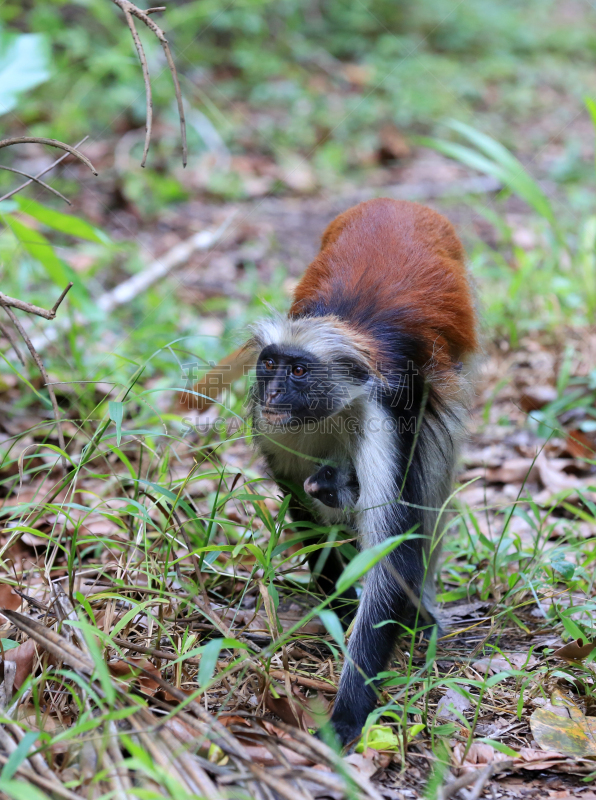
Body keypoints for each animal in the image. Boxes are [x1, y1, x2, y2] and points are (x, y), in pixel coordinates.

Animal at [248, 197, 480, 748]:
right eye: (270, 365)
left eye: (299, 371)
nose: (272, 393)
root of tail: (396, 203)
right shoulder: (274, 426)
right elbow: (302, 504)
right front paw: (338, 606)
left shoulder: (383, 415)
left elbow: (393, 554)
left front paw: (349, 713)